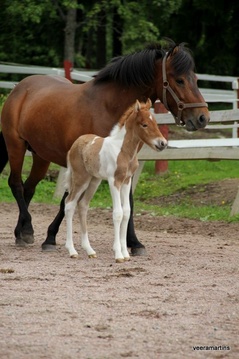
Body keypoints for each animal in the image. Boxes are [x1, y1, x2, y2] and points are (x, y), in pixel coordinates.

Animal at [64, 100, 167, 262]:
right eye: (144, 124)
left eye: (156, 123)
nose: (163, 143)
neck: (123, 151)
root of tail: (75, 144)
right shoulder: (114, 181)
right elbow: (118, 213)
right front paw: (118, 254)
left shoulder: (126, 181)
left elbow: (126, 212)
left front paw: (125, 253)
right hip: (81, 179)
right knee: (69, 204)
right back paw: (72, 250)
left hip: (94, 181)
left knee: (83, 205)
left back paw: (89, 250)